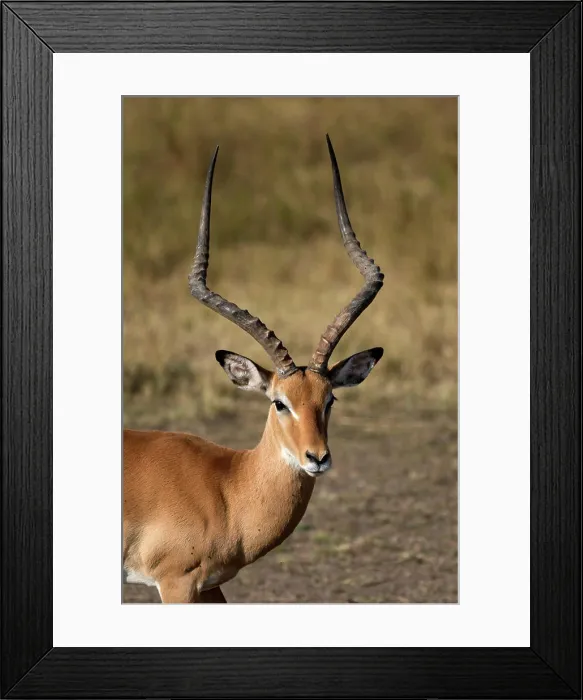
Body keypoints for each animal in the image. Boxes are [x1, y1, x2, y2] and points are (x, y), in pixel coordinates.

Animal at [123, 136, 384, 603]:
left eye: (330, 399)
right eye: (279, 402)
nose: (317, 457)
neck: (227, 489)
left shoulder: (209, 586)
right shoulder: (176, 582)